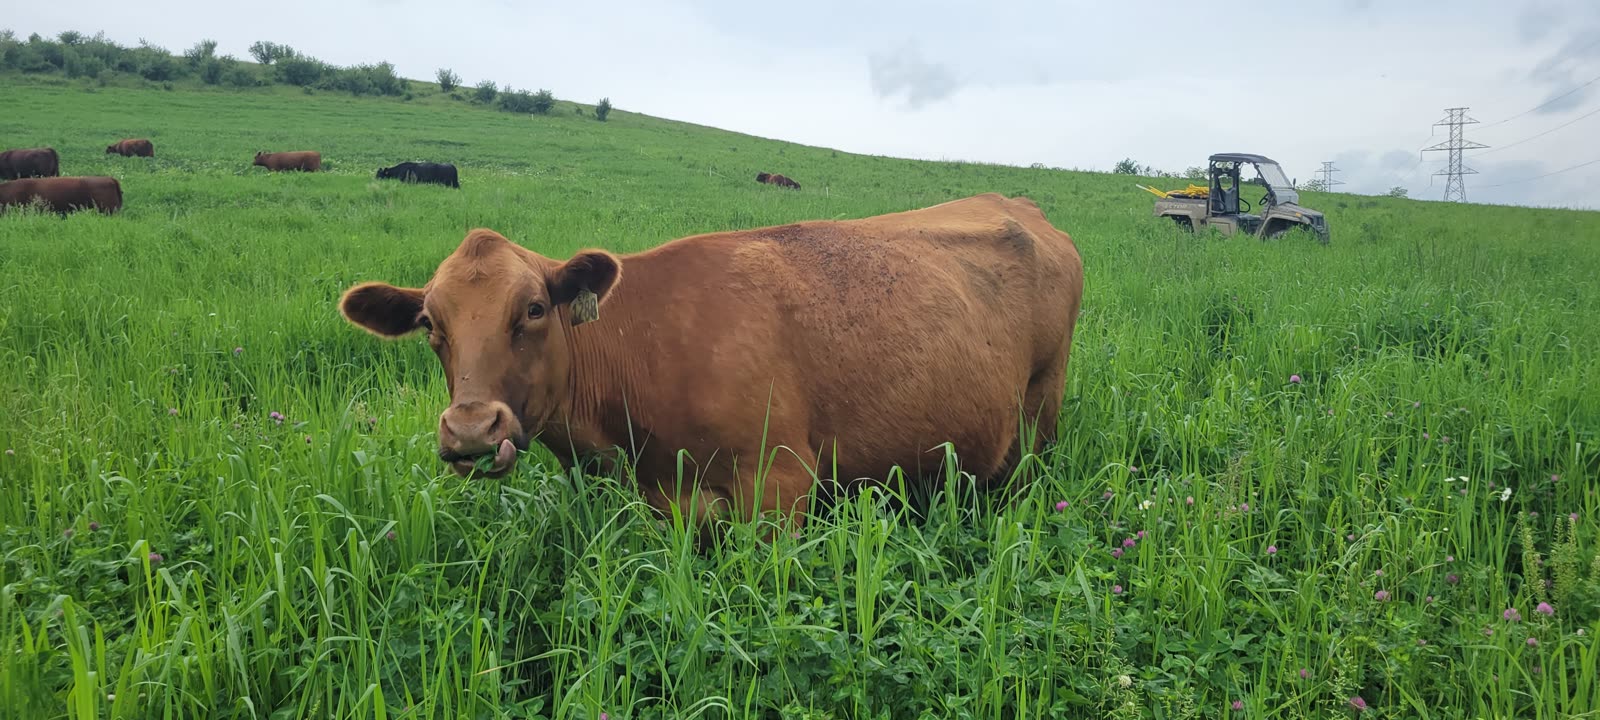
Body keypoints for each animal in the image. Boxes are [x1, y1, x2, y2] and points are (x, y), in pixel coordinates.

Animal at [337, 193, 1084, 534]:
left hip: (1040, 417)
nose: (471, 430)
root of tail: (1016, 202)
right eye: (430, 325)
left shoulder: (781, 481)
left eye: (534, 309)